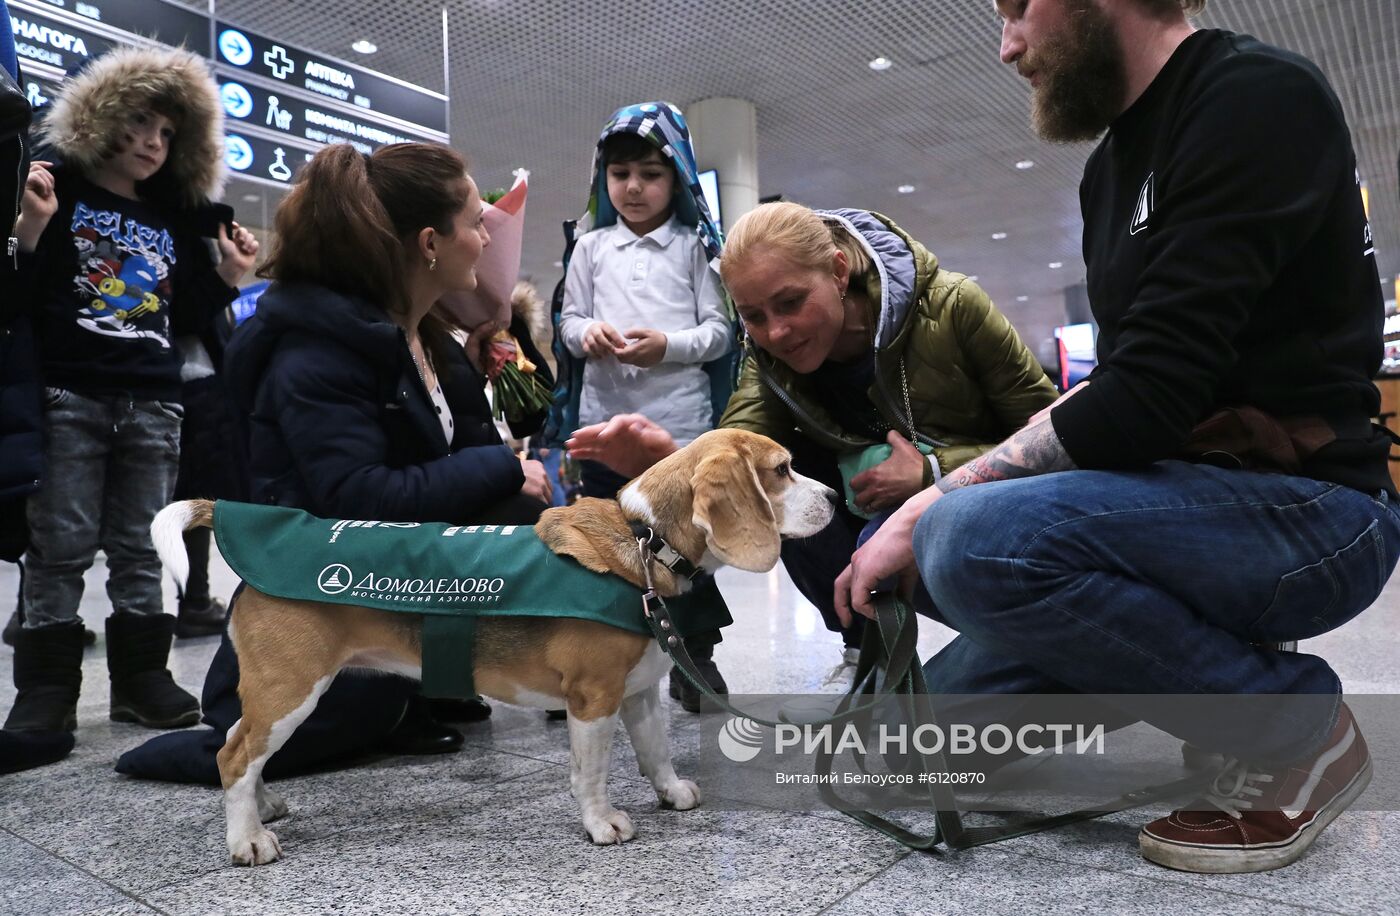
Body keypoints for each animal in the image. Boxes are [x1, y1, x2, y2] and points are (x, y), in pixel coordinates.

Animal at [153, 431, 834, 868]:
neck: (645, 541)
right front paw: (601, 824)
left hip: (277, 694)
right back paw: (247, 842)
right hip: (292, 688)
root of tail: (234, 519)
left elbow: (656, 751)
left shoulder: (639, 691)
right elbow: (591, 772)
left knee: (239, 742)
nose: (833, 497)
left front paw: (670, 792)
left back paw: (261, 807)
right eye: (782, 469)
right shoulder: (593, 699)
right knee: (233, 755)